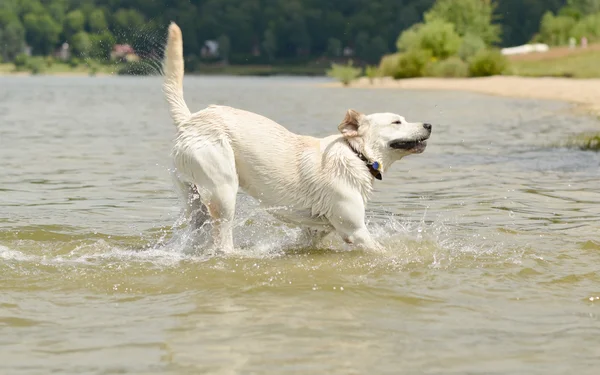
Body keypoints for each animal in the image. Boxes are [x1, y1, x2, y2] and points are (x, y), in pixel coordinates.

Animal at [161, 23, 432, 253]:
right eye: (397, 122)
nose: (429, 125)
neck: (357, 155)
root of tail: (189, 120)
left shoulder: (313, 231)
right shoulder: (354, 231)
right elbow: (382, 252)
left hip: (196, 204)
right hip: (223, 192)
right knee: (222, 241)